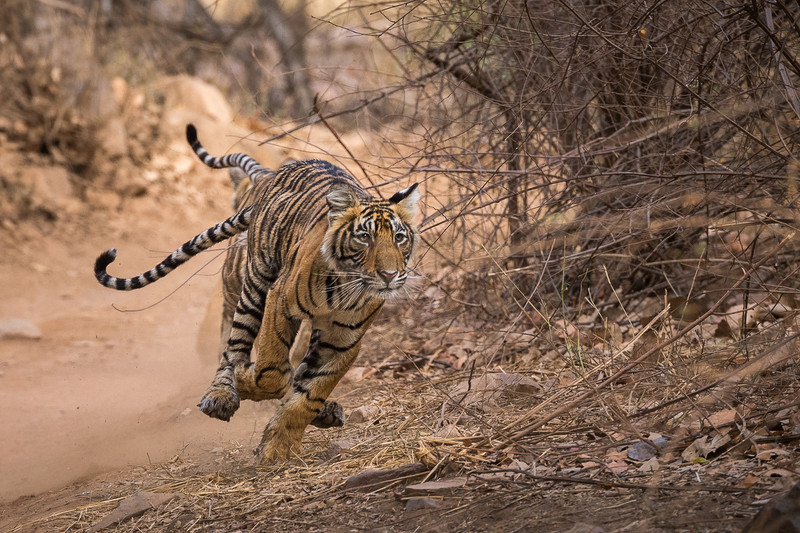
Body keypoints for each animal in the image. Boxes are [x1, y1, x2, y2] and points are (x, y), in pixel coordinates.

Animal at [94, 124, 420, 462]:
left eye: (399, 238)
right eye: (364, 237)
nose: (389, 275)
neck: (348, 288)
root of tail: (272, 174)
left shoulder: (344, 340)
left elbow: (310, 393)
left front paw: (279, 445)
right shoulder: (280, 302)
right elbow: (272, 367)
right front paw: (248, 382)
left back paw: (320, 409)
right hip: (254, 283)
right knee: (233, 345)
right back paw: (223, 393)